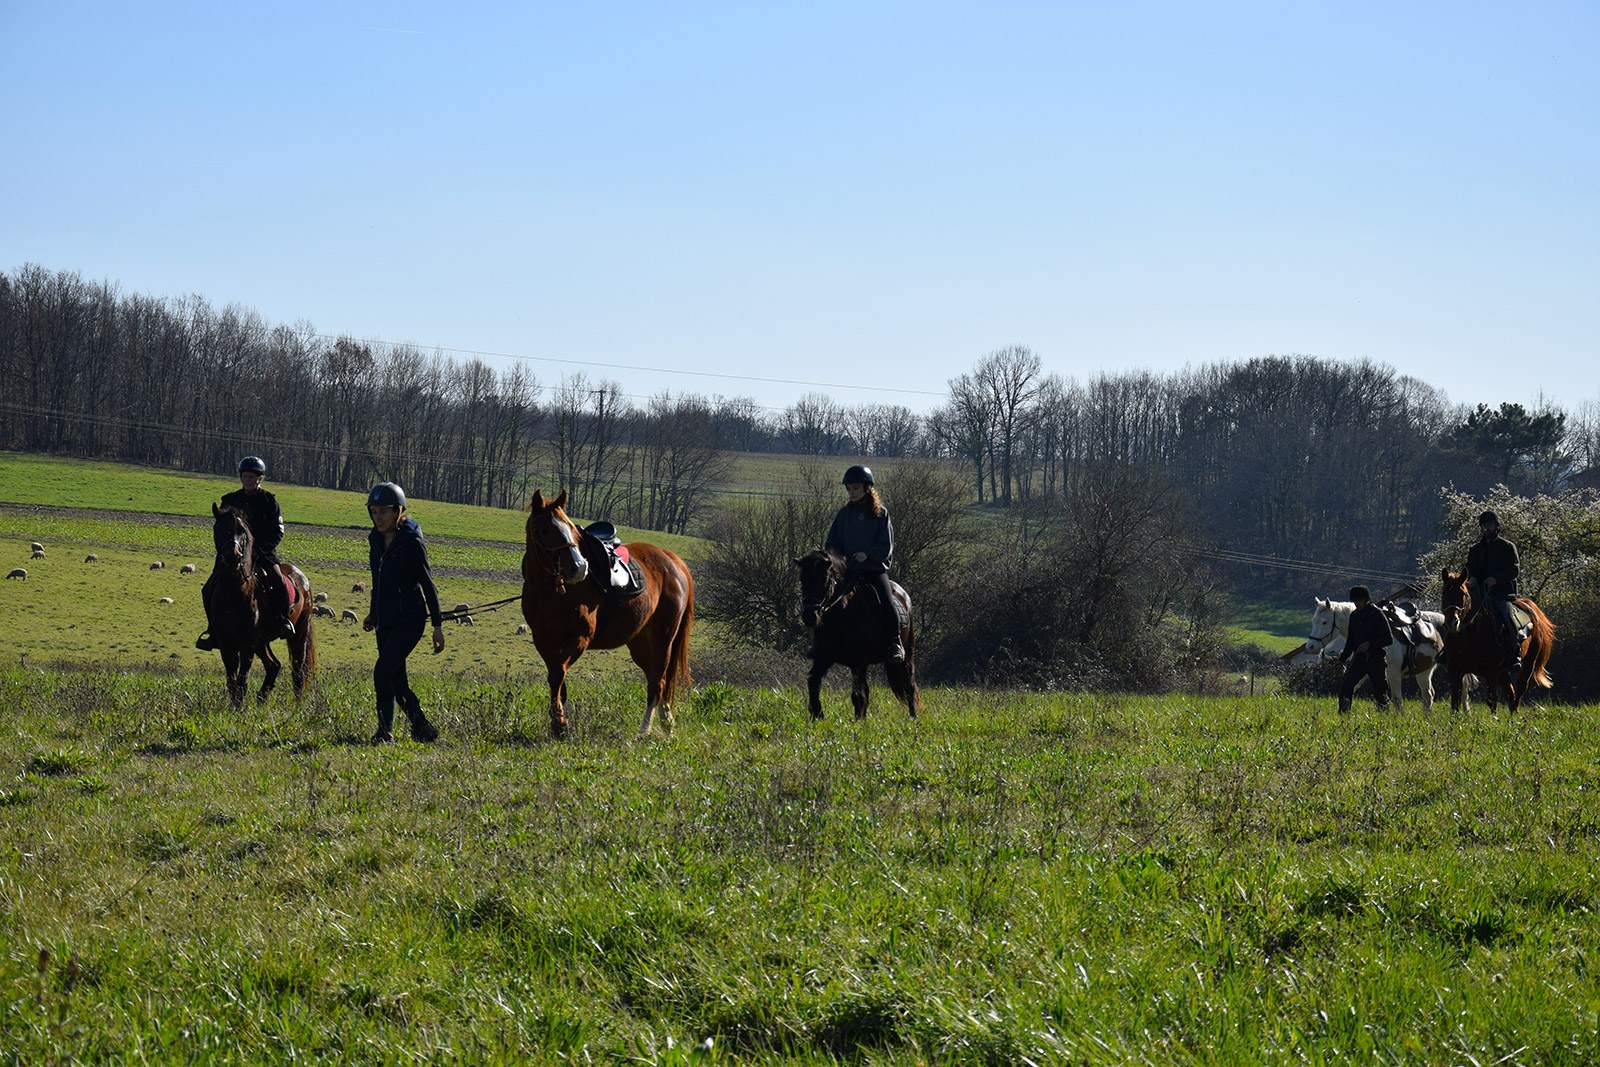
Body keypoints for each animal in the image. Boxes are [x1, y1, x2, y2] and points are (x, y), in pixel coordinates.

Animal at [204, 502, 316, 709]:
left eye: (242, 531)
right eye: (219, 529)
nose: (233, 558)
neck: (234, 590)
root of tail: (301, 577)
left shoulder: (247, 644)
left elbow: (242, 680)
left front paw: (239, 710)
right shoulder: (226, 643)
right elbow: (232, 681)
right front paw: (235, 708)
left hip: (299, 632)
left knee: (298, 672)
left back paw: (297, 707)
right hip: (262, 641)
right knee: (274, 665)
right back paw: (261, 699)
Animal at [520, 490, 694, 738]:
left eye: (569, 528)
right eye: (545, 530)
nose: (579, 567)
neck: (550, 591)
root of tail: (671, 560)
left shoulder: (580, 638)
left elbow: (557, 674)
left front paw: (560, 723)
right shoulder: (544, 641)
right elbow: (559, 680)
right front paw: (561, 724)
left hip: (663, 638)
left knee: (657, 684)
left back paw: (645, 730)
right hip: (640, 643)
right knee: (655, 677)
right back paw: (667, 723)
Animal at [792, 548, 921, 720]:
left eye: (824, 580)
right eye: (802, 580)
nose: (809, 616)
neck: (841, 614)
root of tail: (903, 595)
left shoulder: (859, 660)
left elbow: (858, 694)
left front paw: (858, 720)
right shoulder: (823, 656)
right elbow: (813, 682)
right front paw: (817, 715)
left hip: (907, 653)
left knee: (908, 684)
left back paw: (913, 717)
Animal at [1299, 597, 1445, 711]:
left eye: (1324, 622)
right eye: (1313, 620)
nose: (1310, 647)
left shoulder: (1393, 672)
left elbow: (1396, 699)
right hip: (1424, 671)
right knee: (1428, 696)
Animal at [1439, 569, 1554, 714]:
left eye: (1463, 594)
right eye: (1444, 593)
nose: (1452, 622)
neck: (1468, 637)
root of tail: (1530, 608)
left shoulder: (1490, 672)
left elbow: (1492, 701)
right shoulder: (1454, 670)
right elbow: (1455, 702)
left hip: (1529, 663)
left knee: (1520, 689)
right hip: (1503, 672)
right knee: (1510, 692)